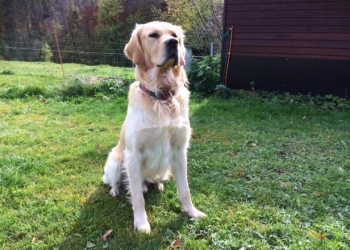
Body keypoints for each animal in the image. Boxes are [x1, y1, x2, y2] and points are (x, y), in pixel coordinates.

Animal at [102, 21, 205, 232]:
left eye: (174, 35)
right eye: (153, 35)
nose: (173, 43)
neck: (161, 95)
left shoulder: (180, 150)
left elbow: (185, 190)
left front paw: (192, 212)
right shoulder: (133, 154)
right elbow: (137, 198)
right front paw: (141, 223)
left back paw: (157, 184)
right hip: (115, 163)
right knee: (119, 182)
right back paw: (116, 190)